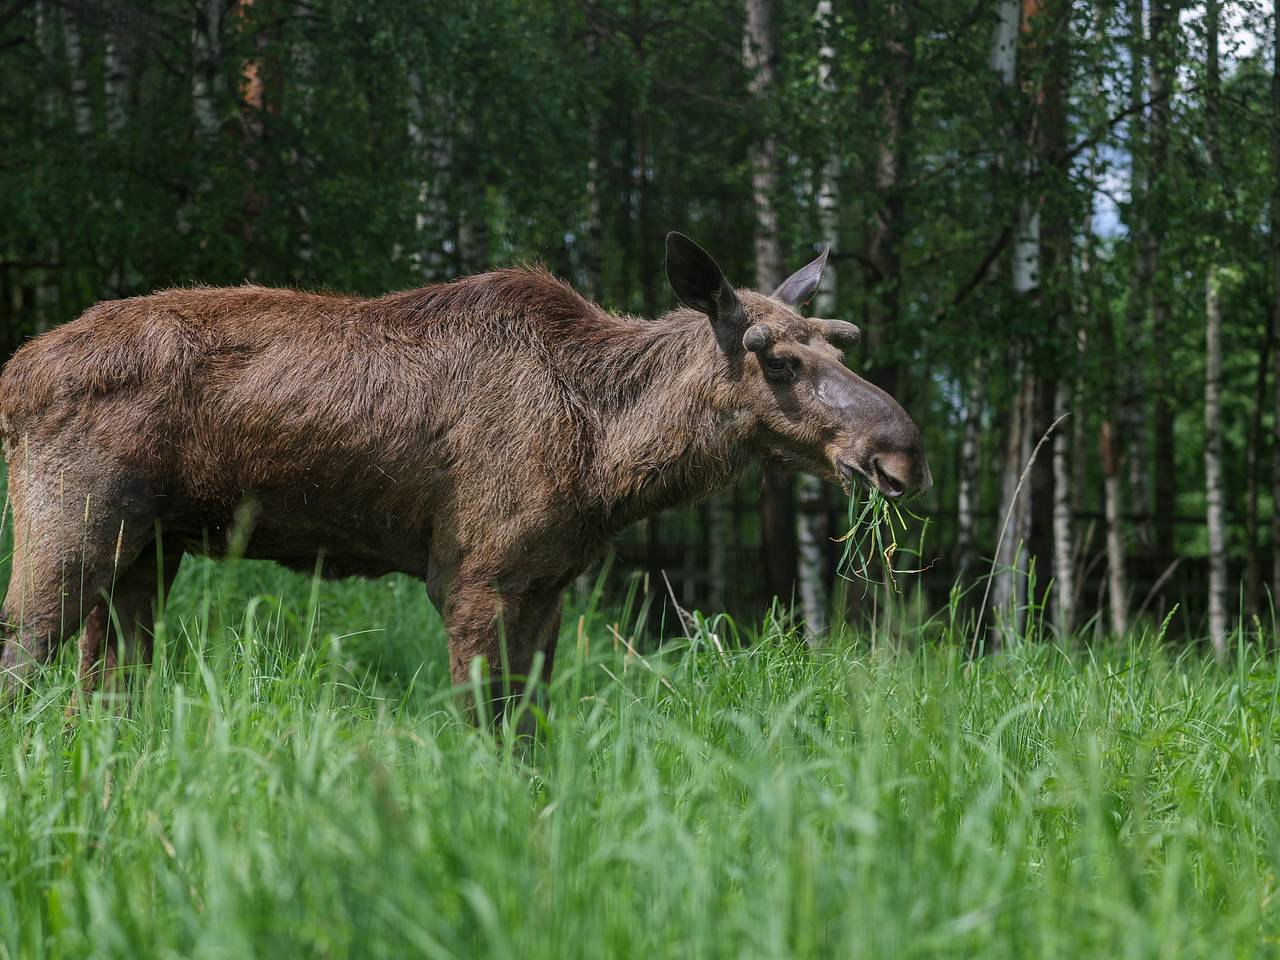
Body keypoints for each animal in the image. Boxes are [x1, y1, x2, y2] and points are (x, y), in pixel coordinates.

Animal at [0, 233, 930, 716]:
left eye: (837, 343)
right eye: (775, 359)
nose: (903, 451)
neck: (608, 460)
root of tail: (13, 375)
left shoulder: (550, 583)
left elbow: (529, 727)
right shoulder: (472, 574)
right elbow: (480, 724)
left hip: (147, 552)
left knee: (104, 688)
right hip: (70, 525)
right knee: (25, 654)